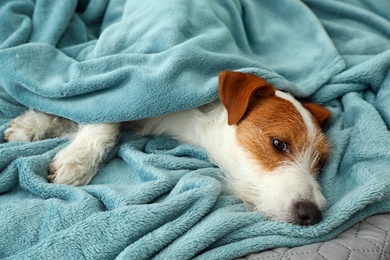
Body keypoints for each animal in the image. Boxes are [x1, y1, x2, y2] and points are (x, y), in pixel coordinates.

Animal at [4, 71, 330, 225]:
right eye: (278, 143)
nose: (312, 214)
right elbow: (98, 116)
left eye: (321, 163)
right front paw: (75, 158)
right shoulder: (130, 97)